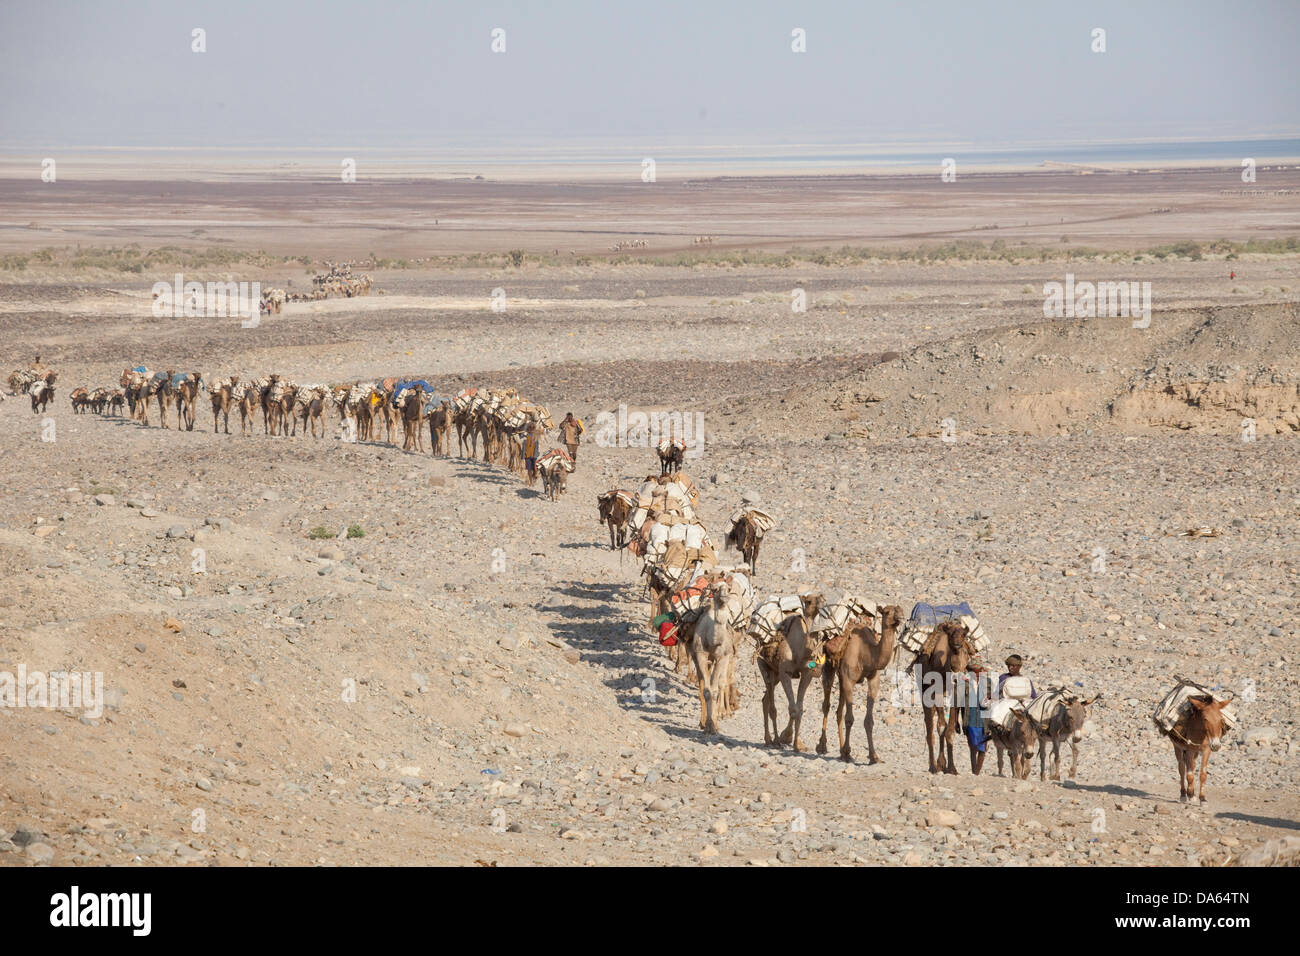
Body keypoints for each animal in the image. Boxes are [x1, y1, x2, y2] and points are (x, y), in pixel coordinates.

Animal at [759, 590, 826, 754]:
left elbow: (799, 708)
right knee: (771, 705)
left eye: (822, 597)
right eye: (809, 601)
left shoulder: (807, 674)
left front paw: (798, 744)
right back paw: (773, 740)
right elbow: (792, 708)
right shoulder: (785, 673)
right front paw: (787, 738)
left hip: (776, 675)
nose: (822, 602)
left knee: (765, 700)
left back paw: (770, 739)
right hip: (765, 668)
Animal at [811, 606, 904, 764]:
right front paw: (848, 752)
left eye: (900, 609)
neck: (866, 654)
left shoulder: (873, 680)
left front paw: (874, 756)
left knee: (839, 711)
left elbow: (869, 721)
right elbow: (850, 719)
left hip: (841, 676)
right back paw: (822, 746)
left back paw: (841, 750)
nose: (901, 616)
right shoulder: (849, 680)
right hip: (829, 666)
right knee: (827, 704)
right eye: (886, 612)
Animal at [920, 624, 972, 775]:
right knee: (930, 728)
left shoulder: (956, 693)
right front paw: (938, 765)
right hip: (925, 694)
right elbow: (941, 727)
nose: (957, 644)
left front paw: (952, 768)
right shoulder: (936, 692)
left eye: (964, 635)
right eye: (950, 635)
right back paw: (933, 765)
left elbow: (949, 730)